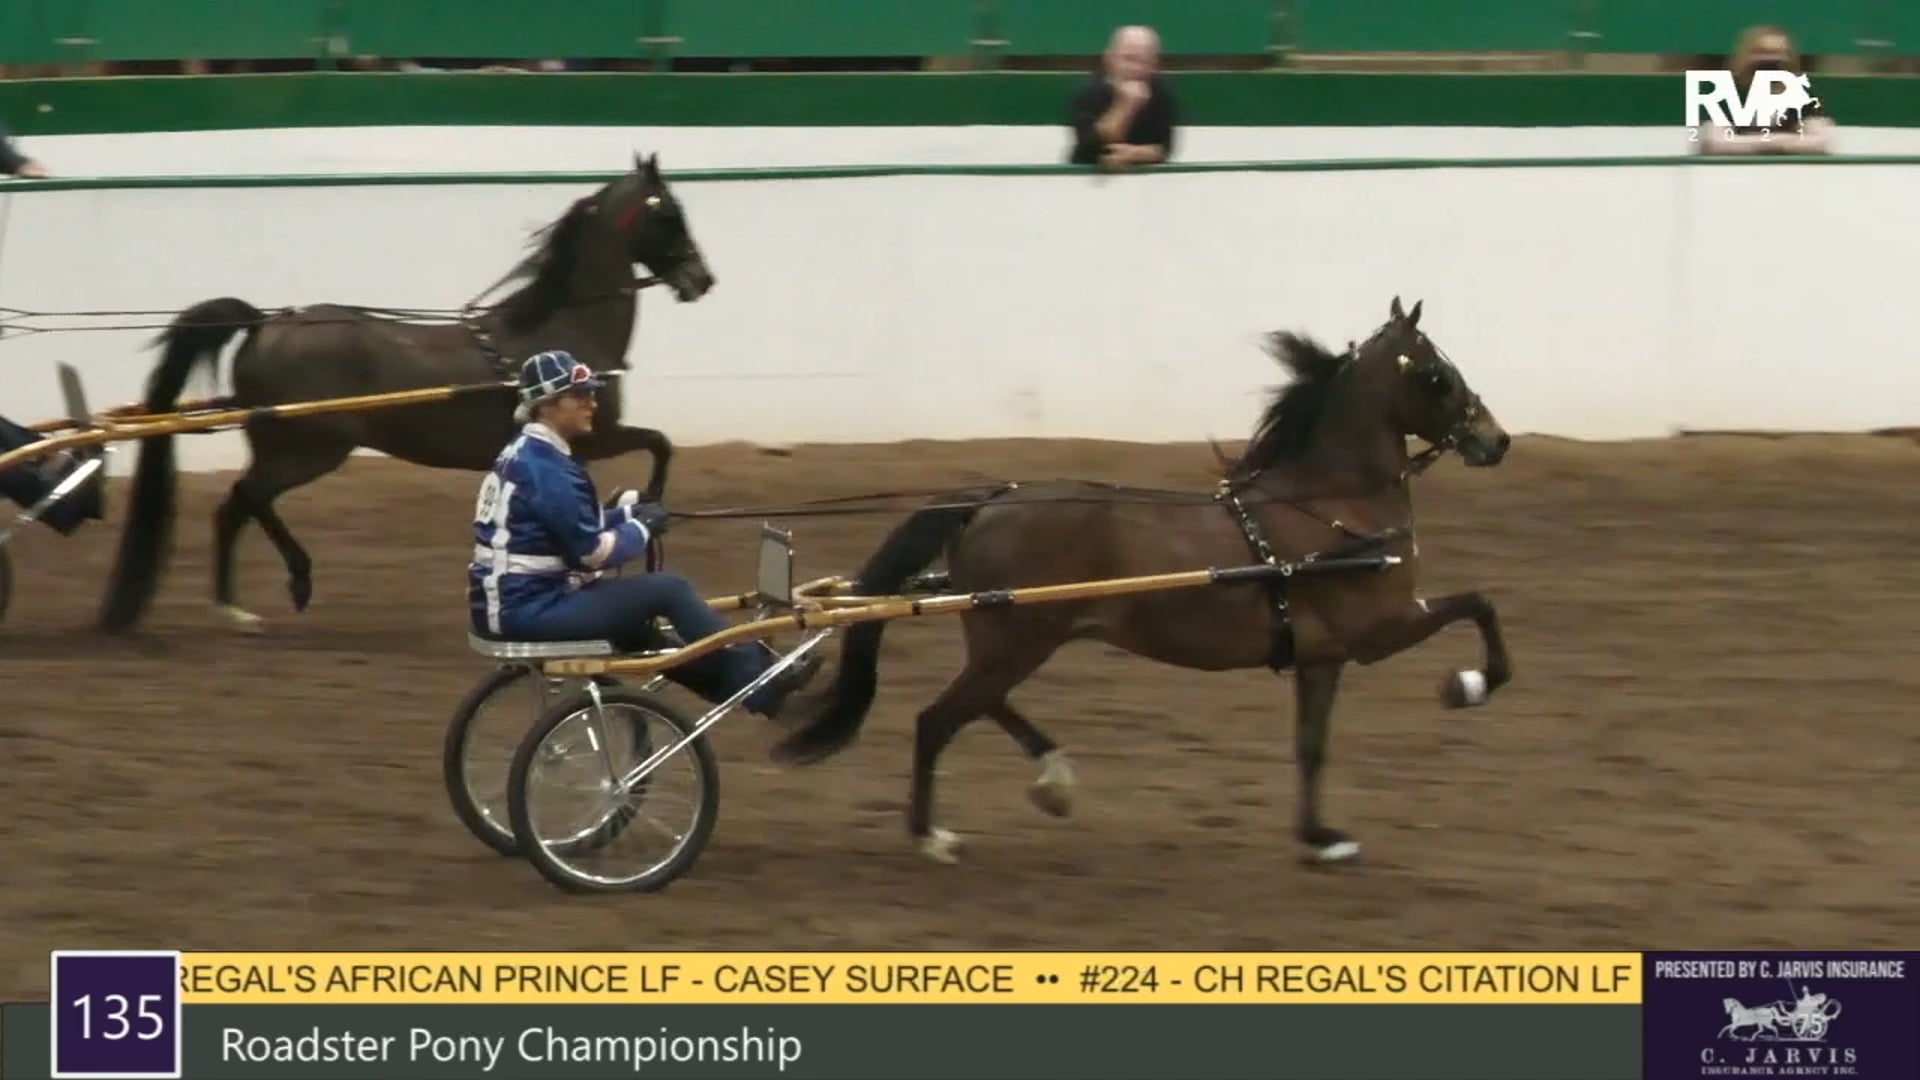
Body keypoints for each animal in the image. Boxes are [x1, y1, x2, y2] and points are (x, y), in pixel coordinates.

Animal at [96, 152, 713, 635]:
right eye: (671, 214)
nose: (703, 280)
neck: (563, 329)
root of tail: (267, 323)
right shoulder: (595, 438)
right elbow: (660, 445)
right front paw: (651, 509)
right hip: (309, 449)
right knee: (243, 501)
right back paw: (270, 592)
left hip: (286, 448)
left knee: (242, 504)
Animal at [770, 296, 1515, 867]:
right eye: (1437, 374)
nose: (1496, 440)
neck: (1331, 508)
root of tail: (991, 499)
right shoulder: (1378, 629)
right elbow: (1479, 605)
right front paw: (1469, 684)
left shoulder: (1323, 656)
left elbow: (1311, 747)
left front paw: (1320, 836)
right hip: (1017, 640)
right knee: (938, 719)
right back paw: (933, 836)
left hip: (1011, 640)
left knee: (981, 704)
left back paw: (1052, 779)